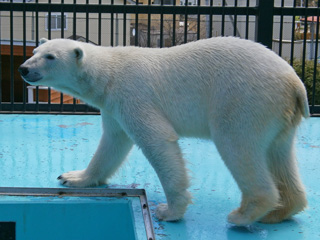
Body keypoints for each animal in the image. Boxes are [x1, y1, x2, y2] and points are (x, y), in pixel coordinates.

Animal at [18, 37, 308, 225]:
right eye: (35, 49)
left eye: (50, 57)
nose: (24, 68)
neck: (108, 74)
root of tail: (294, 82)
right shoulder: (113, 106)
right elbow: (112, 143)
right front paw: (73, 177)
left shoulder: (133, 94)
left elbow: (157, 142)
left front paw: (169, 211)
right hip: (279, 115)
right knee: (279, 154)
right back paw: (280, 211)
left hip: (243, 99)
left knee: (237, 146)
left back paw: (243, 214)